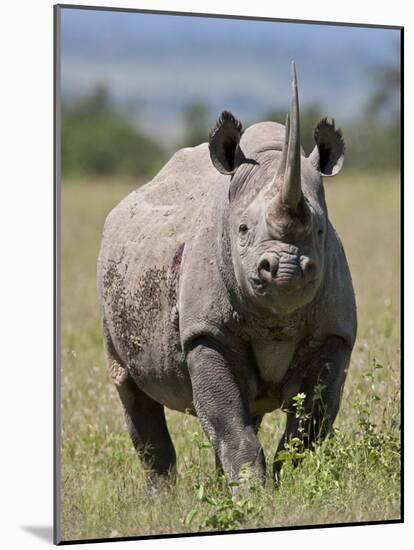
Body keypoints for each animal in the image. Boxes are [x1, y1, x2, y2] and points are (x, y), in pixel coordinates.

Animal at [97, 63, 356, 488]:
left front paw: (286, 486)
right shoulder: (206, 332)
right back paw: (163, 498)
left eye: (320, 232)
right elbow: (227, 421)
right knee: (130, 387)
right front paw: (253, 493)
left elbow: (309, 423)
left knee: (252, 409)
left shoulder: (334, 332)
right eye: (243, 230)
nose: (285, 269)